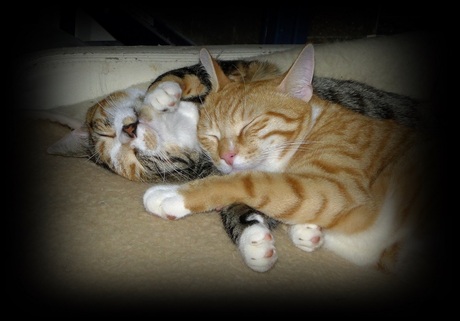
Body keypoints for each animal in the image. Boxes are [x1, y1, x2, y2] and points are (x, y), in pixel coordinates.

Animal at [144, 43, 438, 278]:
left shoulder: (337, 190)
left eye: (250, 125)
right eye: (211, 135)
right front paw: (306, 230)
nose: (226, 156)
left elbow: (248, 182)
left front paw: (172, 195)